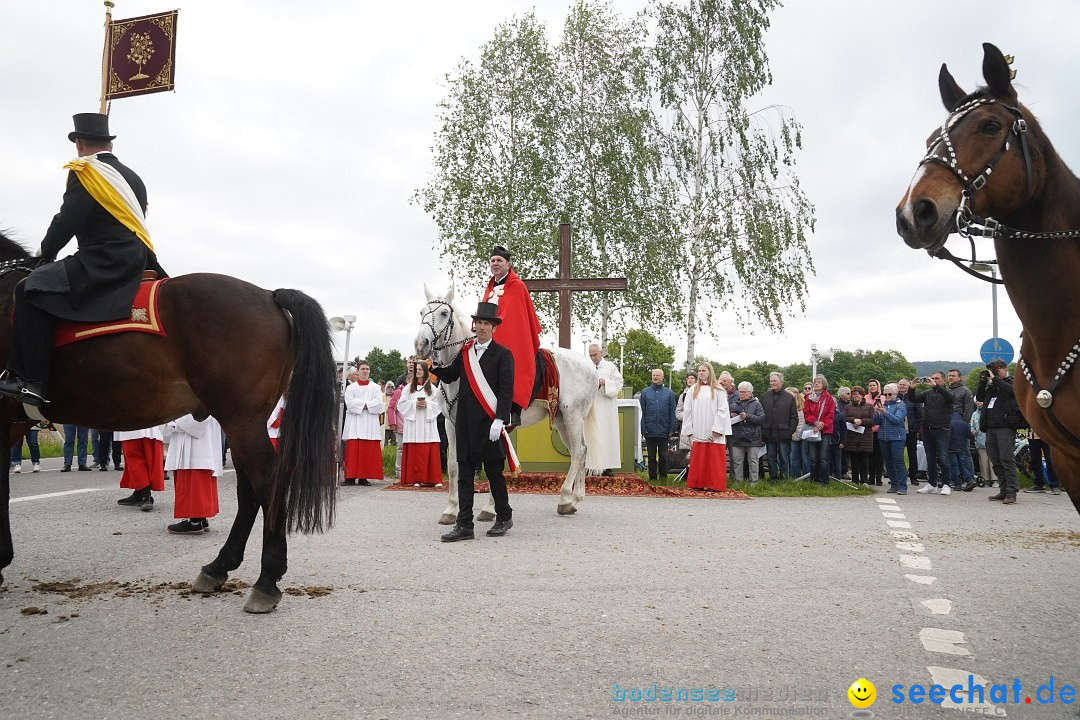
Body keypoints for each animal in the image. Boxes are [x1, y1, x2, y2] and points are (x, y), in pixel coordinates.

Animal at [0, 232, 336, 613]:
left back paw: (266, 581)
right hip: (243, 422)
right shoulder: (12, 421)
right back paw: (218, 568)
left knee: (267, 482)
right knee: (249, 489)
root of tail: (269, 294)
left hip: (242, 420)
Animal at [414, 284, 600, 526]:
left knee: (578, 452)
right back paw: (576, 498)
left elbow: (494, 463)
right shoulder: (451, 425)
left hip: (573, 417)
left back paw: (565, 498)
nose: (421, 344)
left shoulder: (493, 424)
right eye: (421, 312)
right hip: (561, 420)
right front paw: (451, 510)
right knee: (581, 451)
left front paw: (490, 508)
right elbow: (454, 465)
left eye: (445, 313)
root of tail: (591, 368)